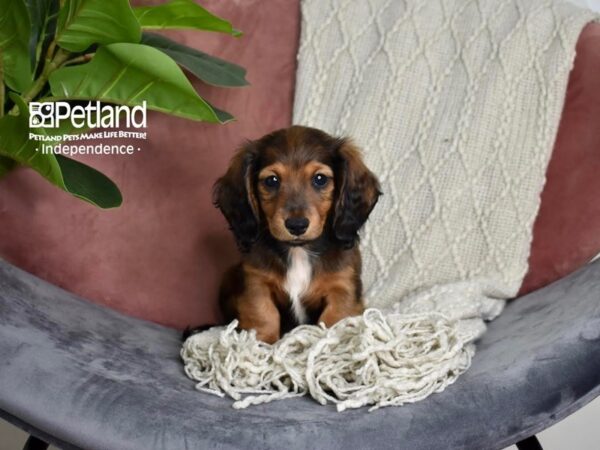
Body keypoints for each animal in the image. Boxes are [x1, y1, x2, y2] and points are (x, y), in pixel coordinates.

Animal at [213, 125, 380, 342]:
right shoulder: (256, 283)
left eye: (320, 179)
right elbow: (263, 315)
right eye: (272, 181)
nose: (297, 225)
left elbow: (334, 321)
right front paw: (260, 345)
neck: (299, 250)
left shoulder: (342, 288)